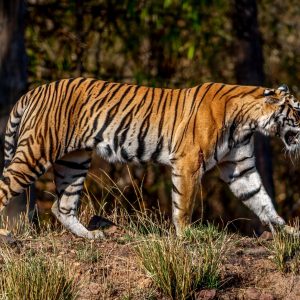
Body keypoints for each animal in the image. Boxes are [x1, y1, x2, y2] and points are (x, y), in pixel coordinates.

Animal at [0, 78, 300, 239]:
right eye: (296, 110)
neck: (249, 122)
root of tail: (35, 90)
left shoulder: (240, 168)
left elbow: (262, 201)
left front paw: (289, 232)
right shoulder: (189, 161)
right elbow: (184, 203)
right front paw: (185, 234)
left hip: (74, 161)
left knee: (61, 206)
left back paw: (91, 235)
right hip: (36, 152)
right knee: (6, 185)